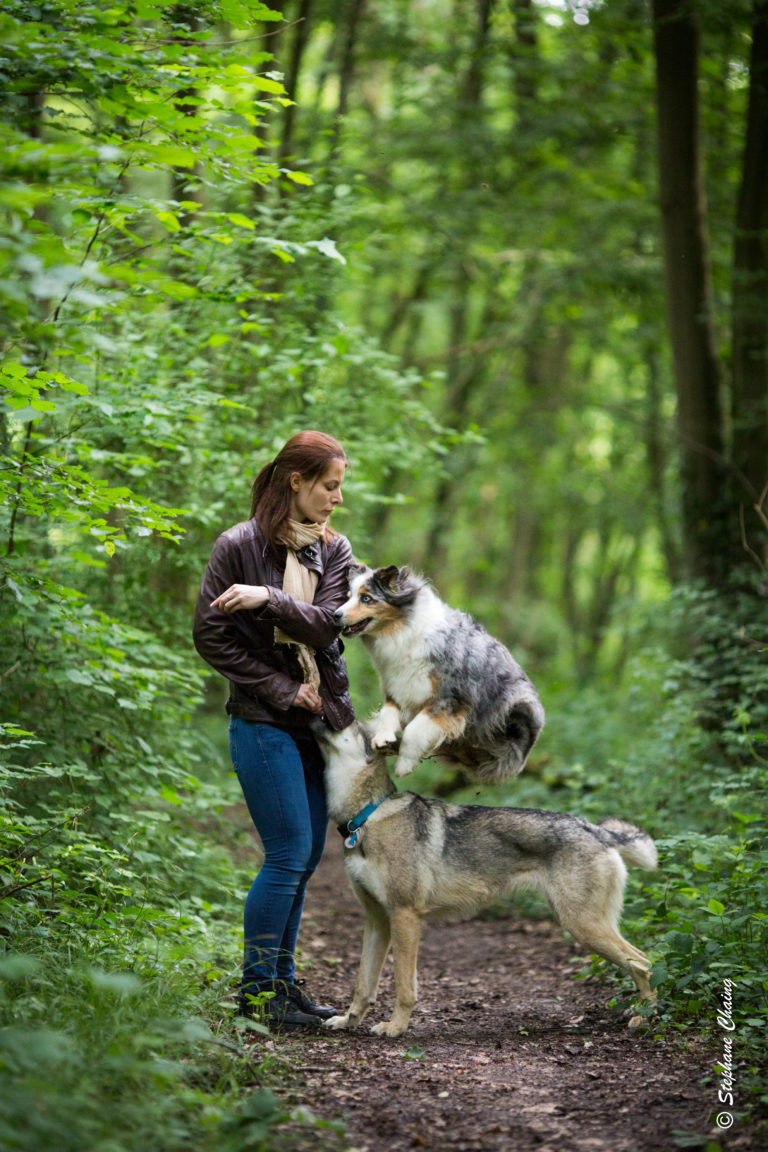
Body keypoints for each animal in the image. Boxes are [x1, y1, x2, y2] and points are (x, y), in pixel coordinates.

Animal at [313, 723, 654, 1041]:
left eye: (350, 723)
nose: (319, 713)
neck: (365, 818)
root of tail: (597, 830)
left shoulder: (404, 916)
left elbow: (404, 987)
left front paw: (395, 1027)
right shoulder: (376, 920)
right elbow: (363, 985)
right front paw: (348, 1021)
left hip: (583, 927)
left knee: (645, 963)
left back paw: (644, 1019)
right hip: (585, 925)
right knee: (643, 963)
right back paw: (638, 1013)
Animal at [333, 564, 543, 783]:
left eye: (366, 598)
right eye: (348, 596)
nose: (335, 615)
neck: (403, 631)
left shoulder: (448, 700)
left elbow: (414, 731)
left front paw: (404, 765)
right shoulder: (397, 686)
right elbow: (387, 712)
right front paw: (383, 737)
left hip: (518, 708)